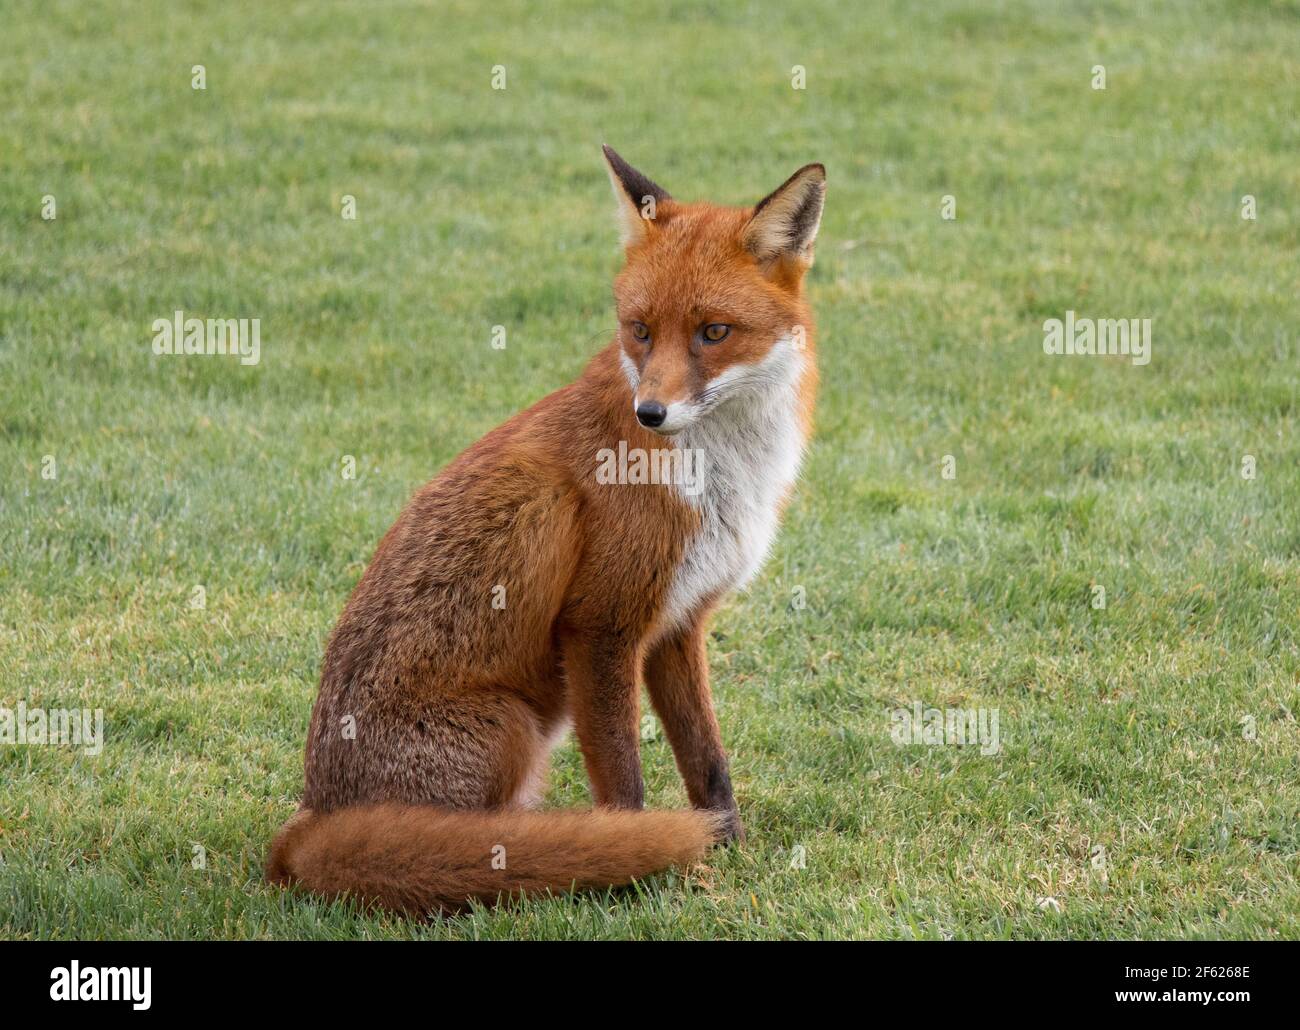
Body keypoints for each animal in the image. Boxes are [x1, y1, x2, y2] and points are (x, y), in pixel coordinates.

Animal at [266, 145, 826, 914]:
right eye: (640, 330)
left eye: (714, 333)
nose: (650, 412)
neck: (721, 475)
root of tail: (304, 831)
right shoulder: (600, 627)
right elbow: (624, 785)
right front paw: (644, 871)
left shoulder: (678, 624)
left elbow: (709, 765)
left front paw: (730, 852)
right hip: (512, 726)